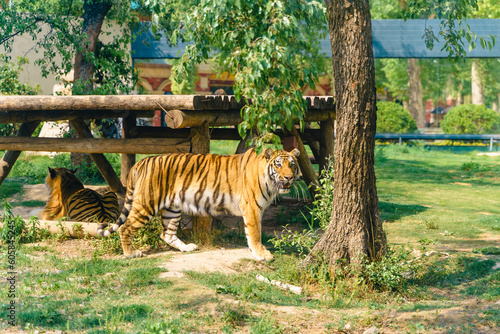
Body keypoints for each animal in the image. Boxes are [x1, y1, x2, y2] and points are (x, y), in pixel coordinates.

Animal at [97, 148, 300, 260]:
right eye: (278, 164)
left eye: (292, 164)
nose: (288, 177)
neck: (270, 183)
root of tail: (141, 162)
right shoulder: (251, 208)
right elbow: (255, 233)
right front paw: (261, 254)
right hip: (147, 204)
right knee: (125, 227)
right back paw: (130, 253)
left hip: (172, 208)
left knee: (166, 233)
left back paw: (187, 247)